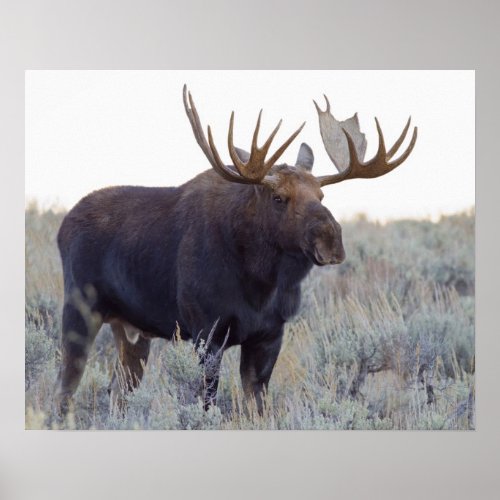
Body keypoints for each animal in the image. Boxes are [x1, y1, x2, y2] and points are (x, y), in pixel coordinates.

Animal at [53, 85, 418, 414]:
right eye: (278, 198)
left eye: (321, 195)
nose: (330, 239)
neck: (260, 283)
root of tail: (63, 226)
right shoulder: (207, 330)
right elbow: (208, 404)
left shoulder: (269, 334)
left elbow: (258, 406)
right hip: (79, 311)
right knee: (65, 386)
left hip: (131, 329)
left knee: (119, 390)